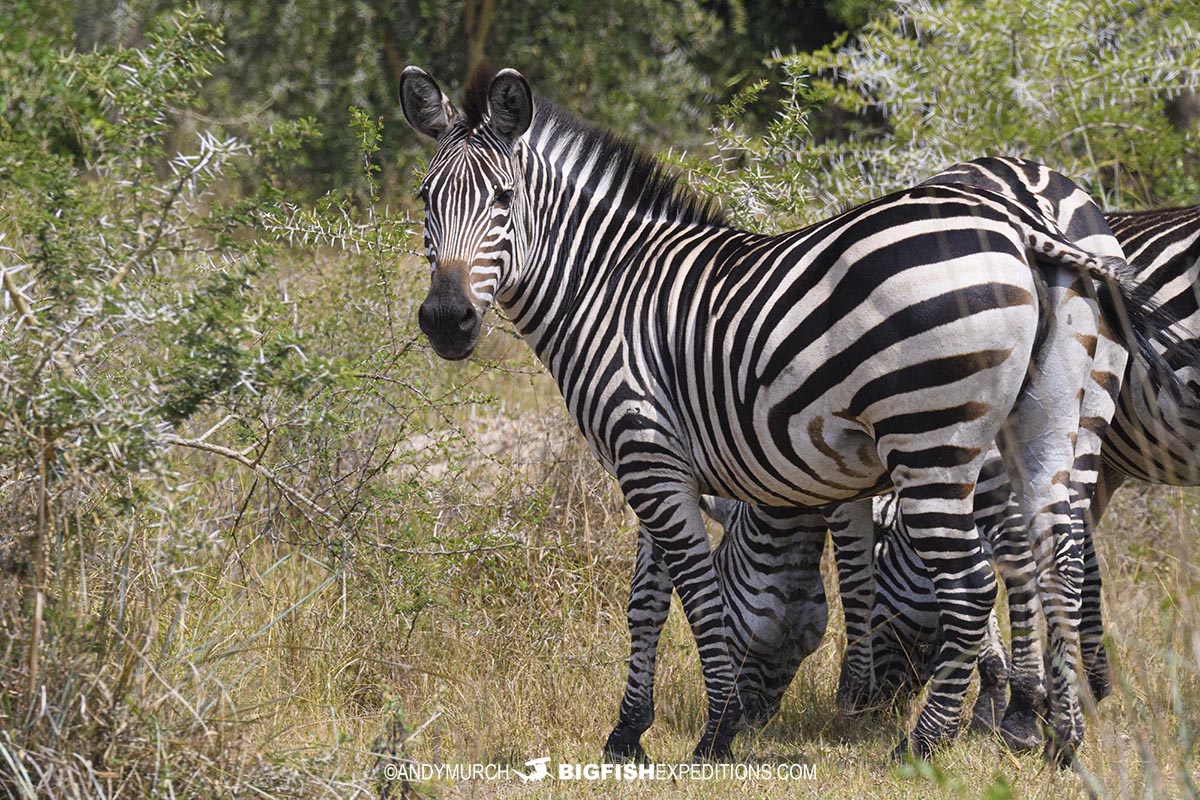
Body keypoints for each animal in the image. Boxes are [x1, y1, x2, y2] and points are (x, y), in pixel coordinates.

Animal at [400, 65, 1171, 762]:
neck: (609, 288)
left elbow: (698, 594)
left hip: (932, 440)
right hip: (1055, 426)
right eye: (425, 198)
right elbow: (646, 597)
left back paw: (925, 744)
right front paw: (626, 734)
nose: (446, 321)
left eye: (504, 198)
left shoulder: (645, 452)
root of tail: (1027, 223)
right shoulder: (655, 460)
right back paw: (1059, 741)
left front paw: (714, 737)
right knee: (1060, 562)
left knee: (974, 583)